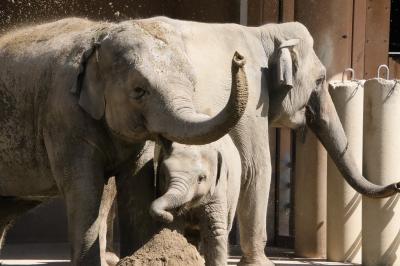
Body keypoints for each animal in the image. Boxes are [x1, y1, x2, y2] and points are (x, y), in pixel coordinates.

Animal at [150, 135, 241, 266]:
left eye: (201, 178)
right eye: (164, 175)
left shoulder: (218, 189)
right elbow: (175, 225)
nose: (166, 215)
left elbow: (214, 230)